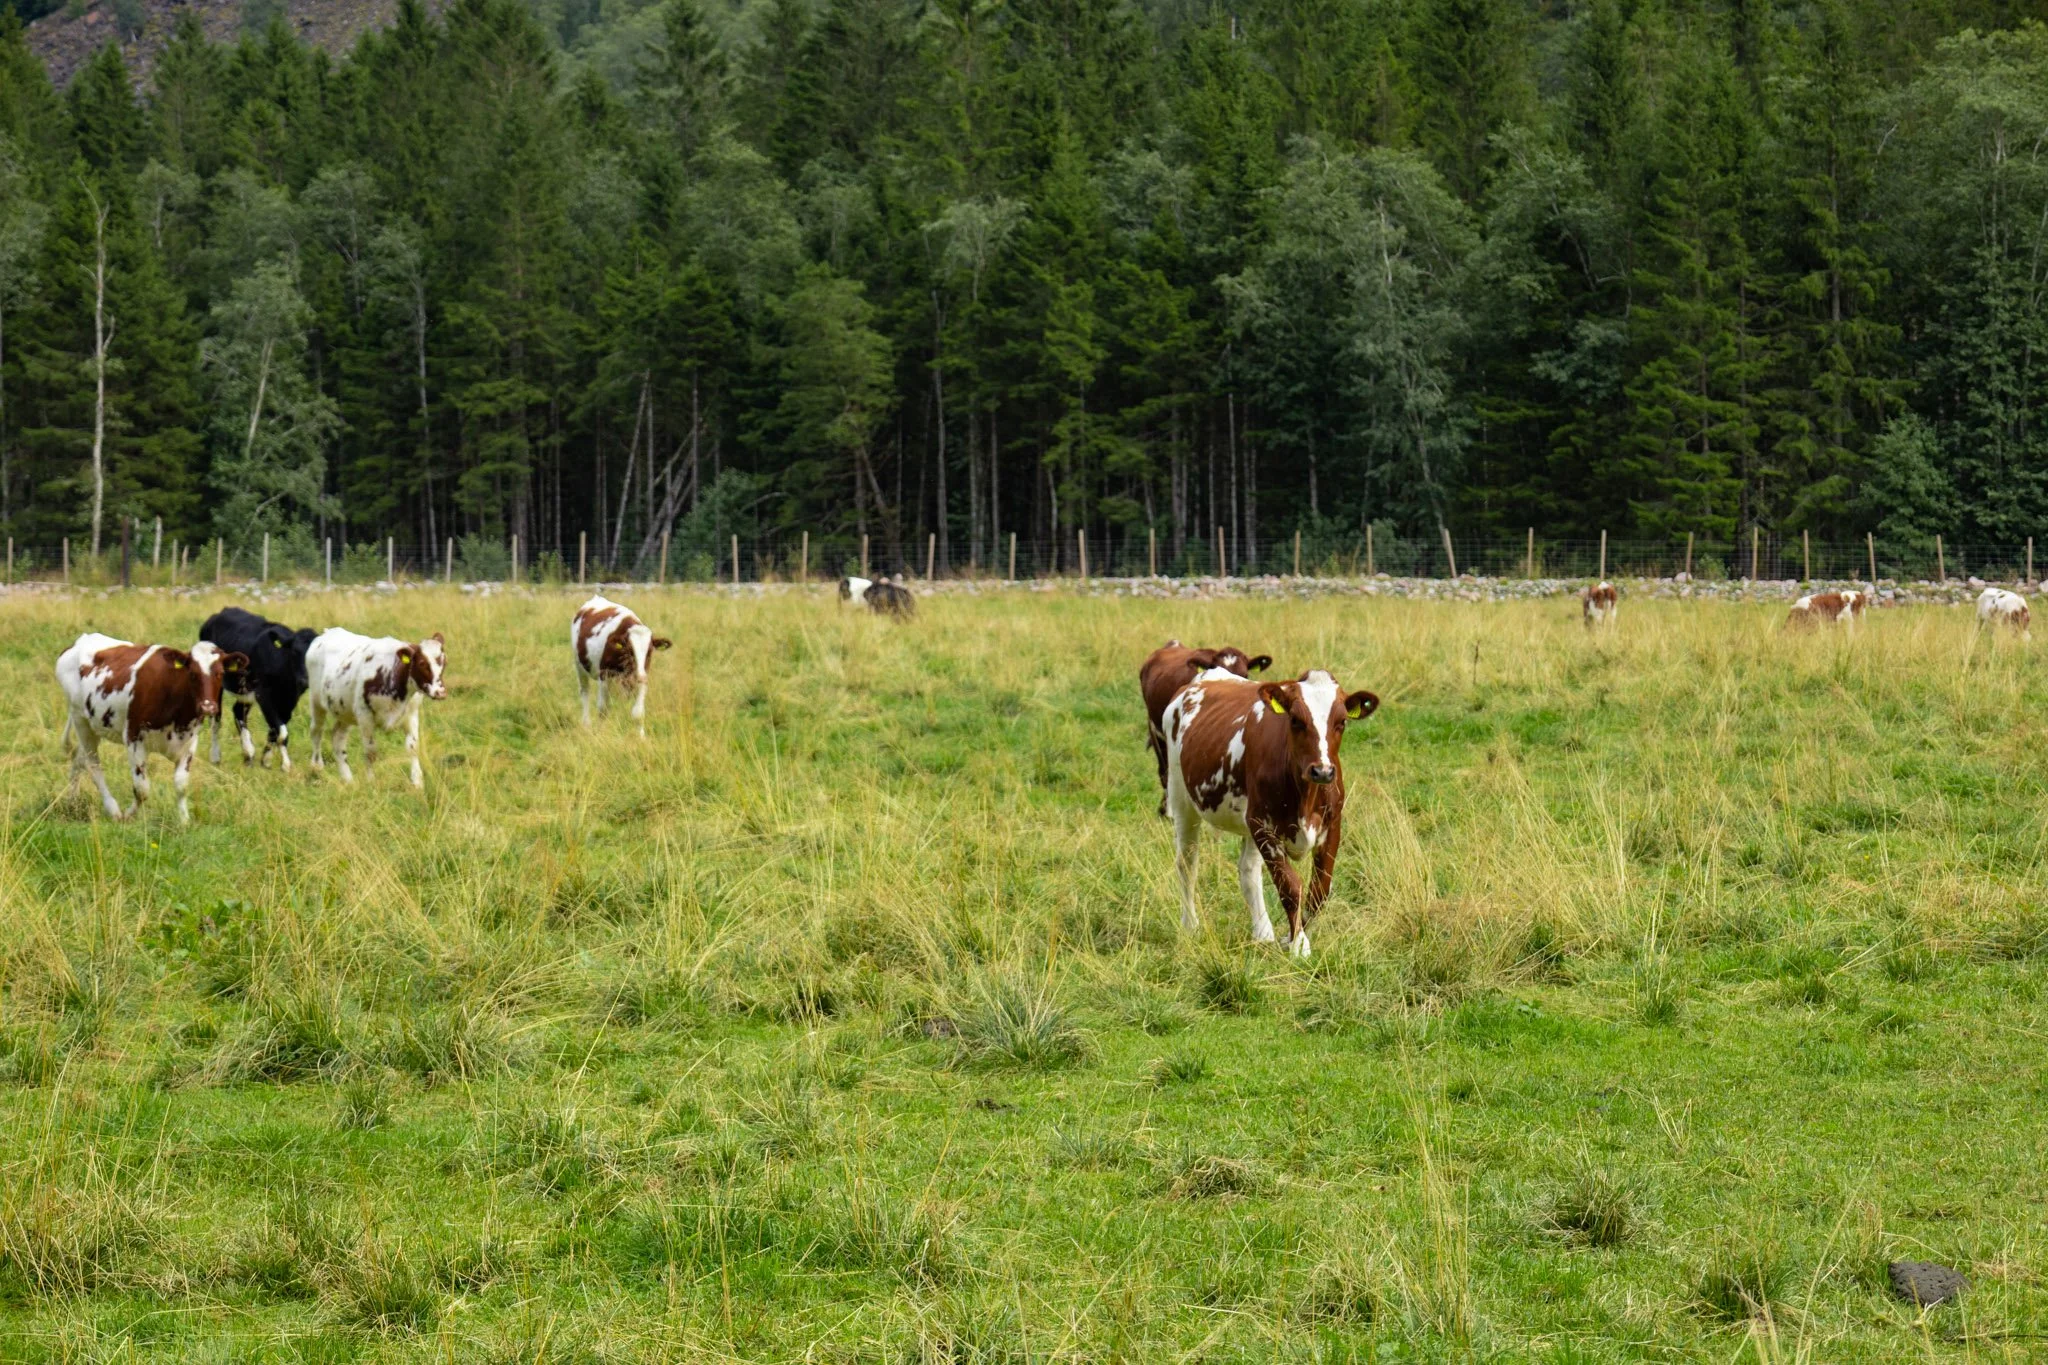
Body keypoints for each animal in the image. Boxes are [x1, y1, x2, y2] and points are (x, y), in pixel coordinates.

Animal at [55, 634, 247, 824]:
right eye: (192, 674)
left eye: (220, 673)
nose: (208, 707)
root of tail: (80, 641)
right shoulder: (133, 738)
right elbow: (142, 789)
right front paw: (127, 815)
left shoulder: (189, 742)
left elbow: (181, 785)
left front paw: (184, 821)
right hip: (80, 720)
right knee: (93, 764)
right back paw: (112, 809)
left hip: (93, 727)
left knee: (79, 759)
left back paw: (72, 801)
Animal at [200, 607, 318, 771]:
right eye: (294, 651)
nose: (305, 680)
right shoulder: (263, 695)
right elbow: (282, 732)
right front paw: (286, 765)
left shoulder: (290, 700)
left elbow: (276, 730)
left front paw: (266, 760)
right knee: (215, 720)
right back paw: (216, 757)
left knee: (238, 712)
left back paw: (248, 754)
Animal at [305, 629, 447, 787]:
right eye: (422, 663)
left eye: (444, 663)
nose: (440, 692)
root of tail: (328, 632)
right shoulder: (364, 715)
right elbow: (371, 751)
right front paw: (371, 782)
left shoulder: (411, 714)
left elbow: (413, 748)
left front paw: (417, 782)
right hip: (316, 701)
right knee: (316, 731)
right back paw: (317, 766)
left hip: (344, 711)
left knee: (337, 738)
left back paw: (348, 780)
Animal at [571, 595, 672, 735]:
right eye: (629, 651)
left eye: (649, 652)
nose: (639, 676)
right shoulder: (604, 676)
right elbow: (603, 709)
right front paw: (601, 732)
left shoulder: (642, 676)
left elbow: (638, 713)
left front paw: (641, 736)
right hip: (579, 666)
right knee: (585, 692)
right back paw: (586, 724)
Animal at [1163, 667, 1379, 958]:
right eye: (1296, 720)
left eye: (1342, 721)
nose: (1322, 771)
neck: (1305, 796)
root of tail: (1208, 675)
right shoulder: (1263, 826)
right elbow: (1290, 886)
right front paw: (1299, 944)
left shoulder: (1332, 825)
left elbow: (1319, 891)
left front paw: (1290, 937)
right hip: (1181, 798)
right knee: (1187, 863)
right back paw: (1191, 926)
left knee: (1248, 869)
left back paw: (1262, 932)